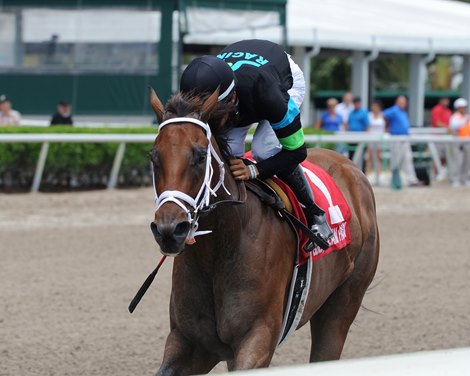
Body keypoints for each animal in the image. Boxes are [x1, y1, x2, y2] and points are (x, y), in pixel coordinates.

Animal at [149, 86, 380, 374]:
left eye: (201, 156)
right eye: (153, 157)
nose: (170, 230)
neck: (220, 250)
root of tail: (352, 170)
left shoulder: (258, 338)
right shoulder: (191, 343)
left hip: (344, 301)